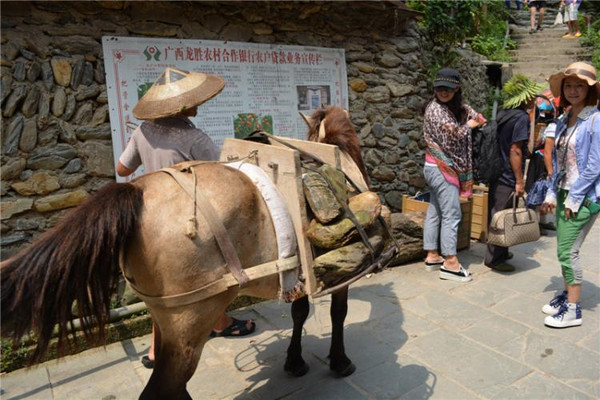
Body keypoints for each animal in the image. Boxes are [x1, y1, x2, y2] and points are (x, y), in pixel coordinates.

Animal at [2, 105, 370, 396]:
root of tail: (136, 193)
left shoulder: (299, 271)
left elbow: (299, 311)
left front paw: (294, 361)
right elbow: (338, 312)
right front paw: (340, 361)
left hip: (165, 316)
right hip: (190, 324)